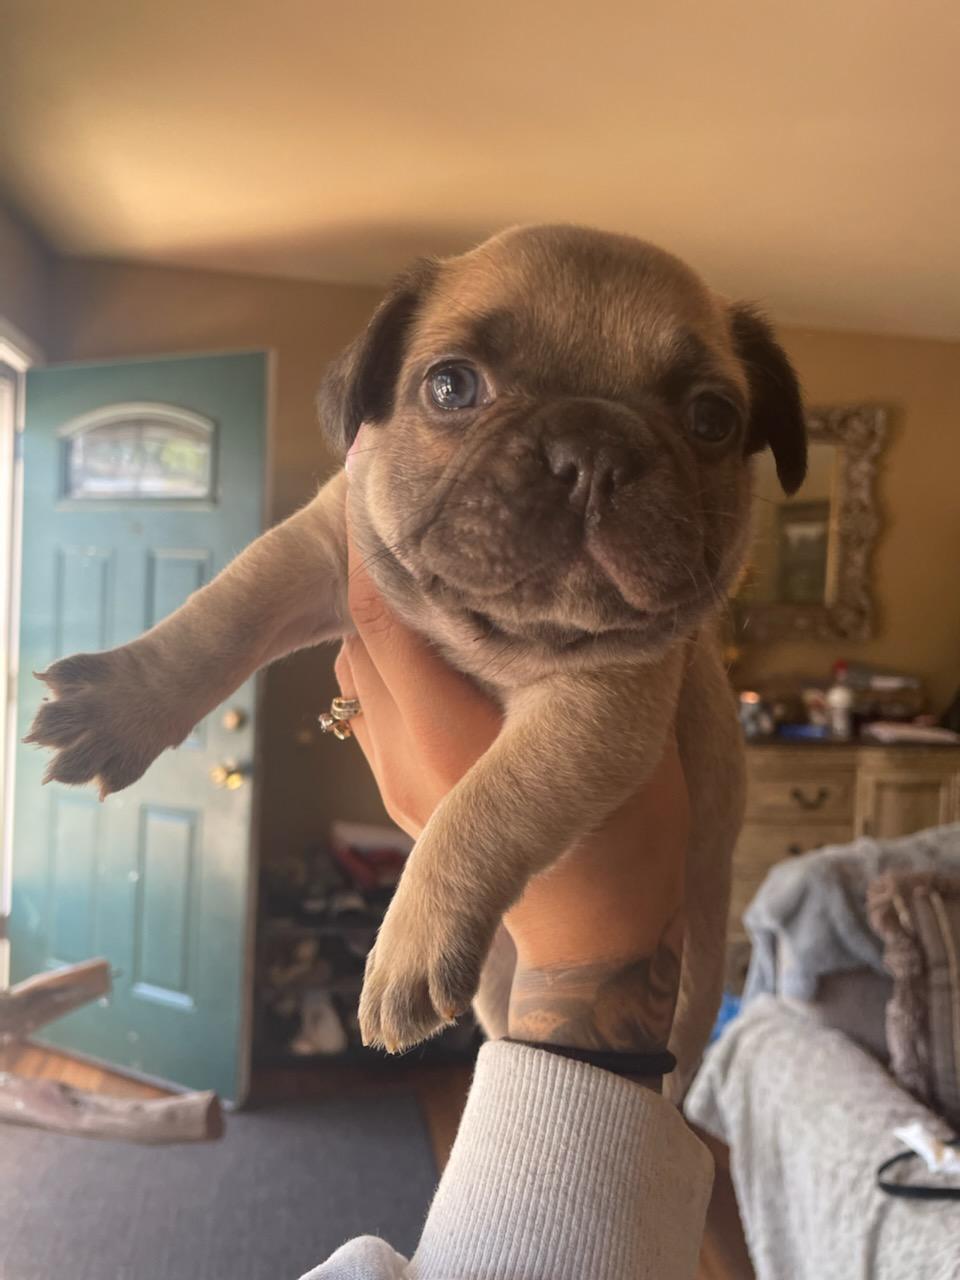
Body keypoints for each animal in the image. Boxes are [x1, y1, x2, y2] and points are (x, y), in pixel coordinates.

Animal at [27, 225, 806, 1091]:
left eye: (712, 417)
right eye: (452, 387)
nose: (591, 452)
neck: (488, 629)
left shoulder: (602, 706)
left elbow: (486, 802)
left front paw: (408, 944)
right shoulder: (320, 548)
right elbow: (219, 616)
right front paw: (118, 706)